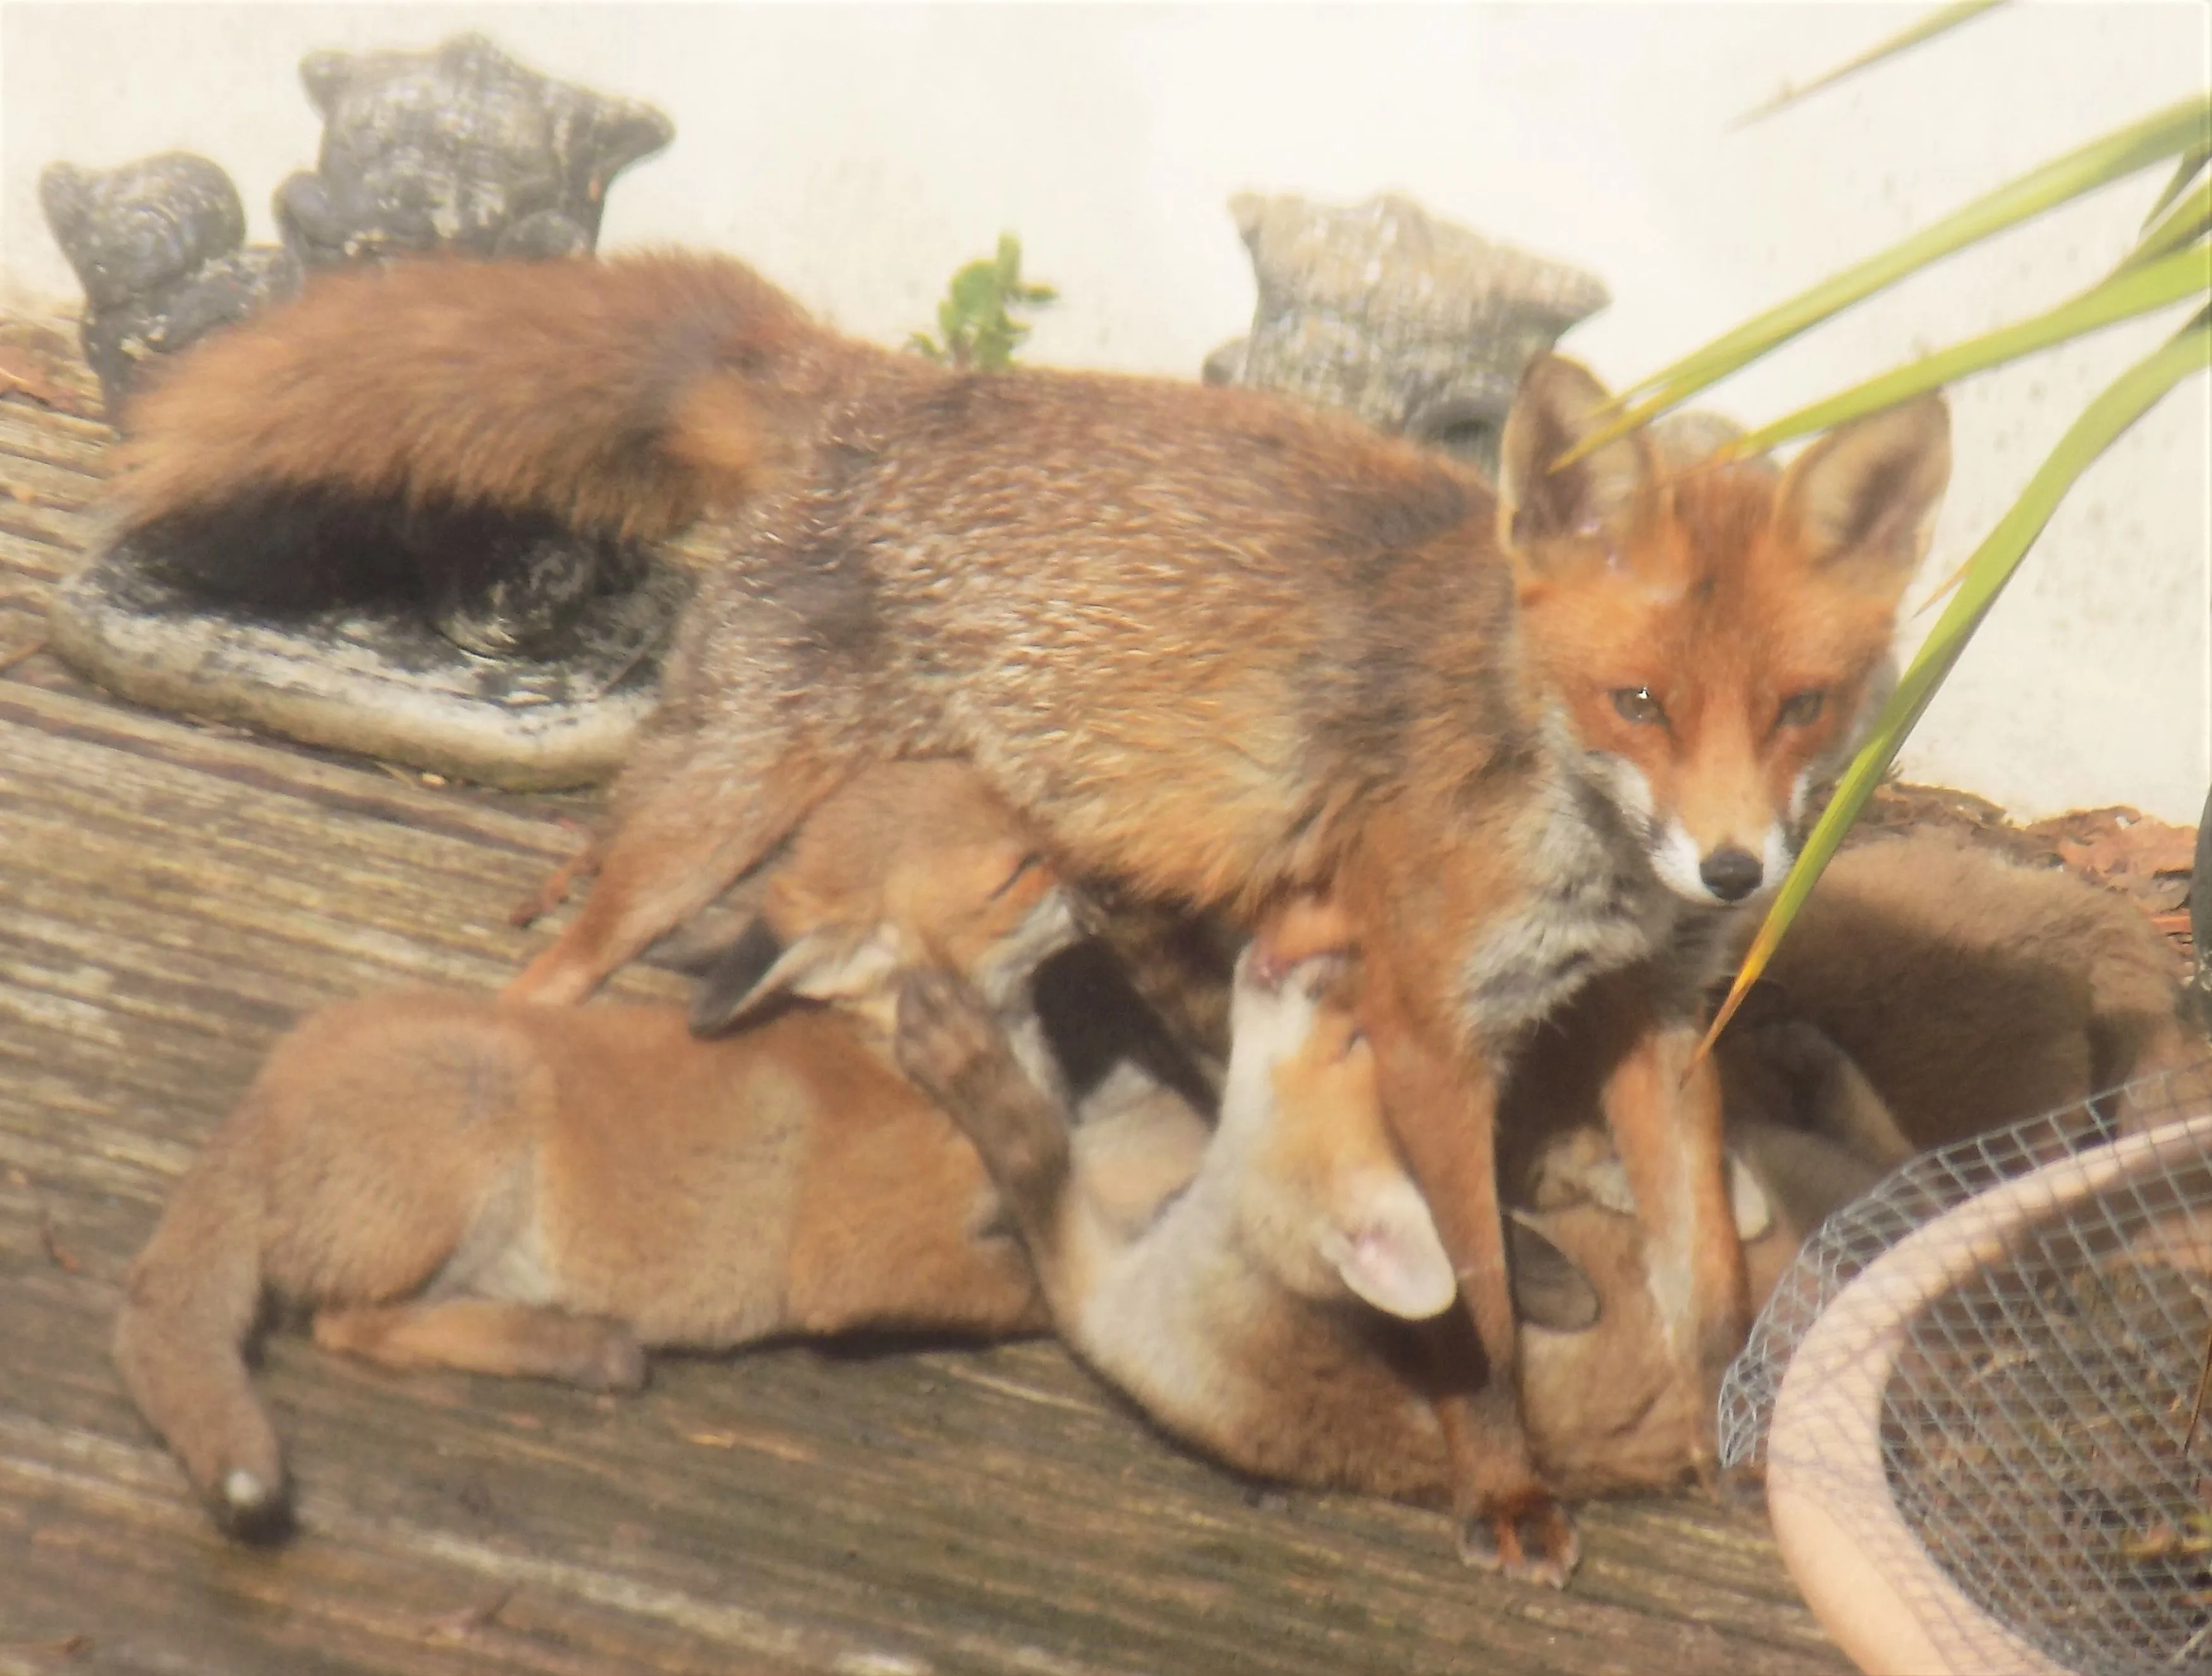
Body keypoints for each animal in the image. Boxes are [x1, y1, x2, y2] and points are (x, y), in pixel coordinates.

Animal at [111, 762, 1108, 1540]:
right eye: (1022, 866)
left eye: (1031, 813)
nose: (1115, 879)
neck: (898, 1055)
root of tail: (261, 1102)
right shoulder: (857, 1264)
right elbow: (1036, 1281)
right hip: (486, 1107)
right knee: (353, 1324)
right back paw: (580, 1346)